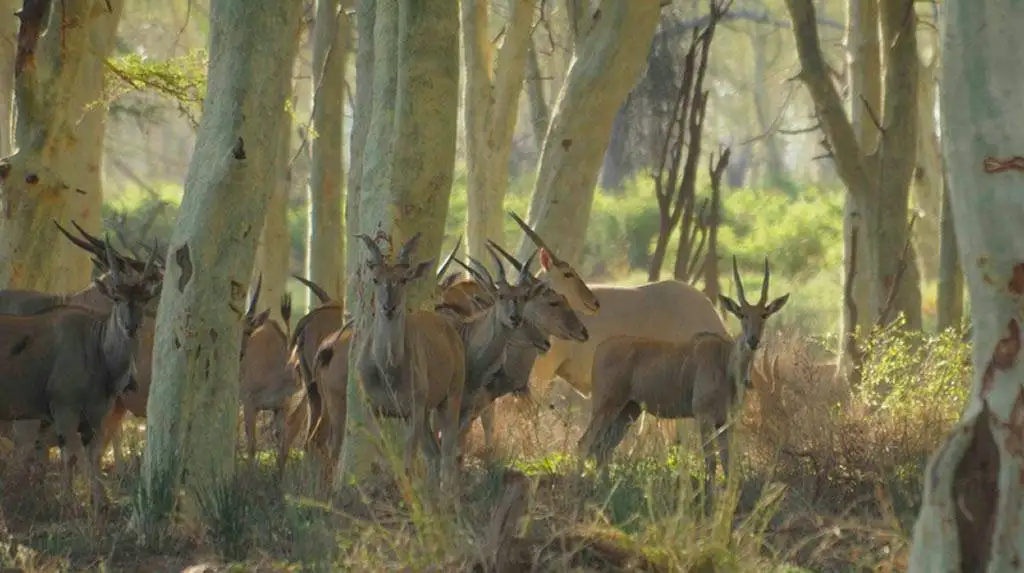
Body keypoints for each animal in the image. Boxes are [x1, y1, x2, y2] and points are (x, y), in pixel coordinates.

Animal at [0, 239, 161, 510]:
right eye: (116, 297)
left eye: (144, 297)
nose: (131, 326)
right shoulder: (62, 411)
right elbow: (73, 456)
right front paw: (84, 502)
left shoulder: (94, 416)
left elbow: (88, 456)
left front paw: (87, 501)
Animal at [354, 231, 466, 488]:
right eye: (376, 279)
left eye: (404, 279)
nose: (389, 307)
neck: (388, 369)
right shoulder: (372, 409)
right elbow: (386, 451)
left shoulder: (412, 409)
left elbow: (407, 461)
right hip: (426, 413)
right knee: (434, 453)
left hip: (450, 398)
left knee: (446, 453)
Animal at [578, 257, 789, 508]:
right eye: (742, 314)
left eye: (764, 315)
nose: (753, 340)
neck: (725, 362)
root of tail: (600, 350)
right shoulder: (704, 417)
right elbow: (711, 462)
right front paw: (708, 501)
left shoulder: (725, 422)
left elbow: (727, 463)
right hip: (606, 405)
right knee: (585, 443)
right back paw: (580, 489)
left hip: (628, 411)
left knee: (603, 449)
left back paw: (605, 492)